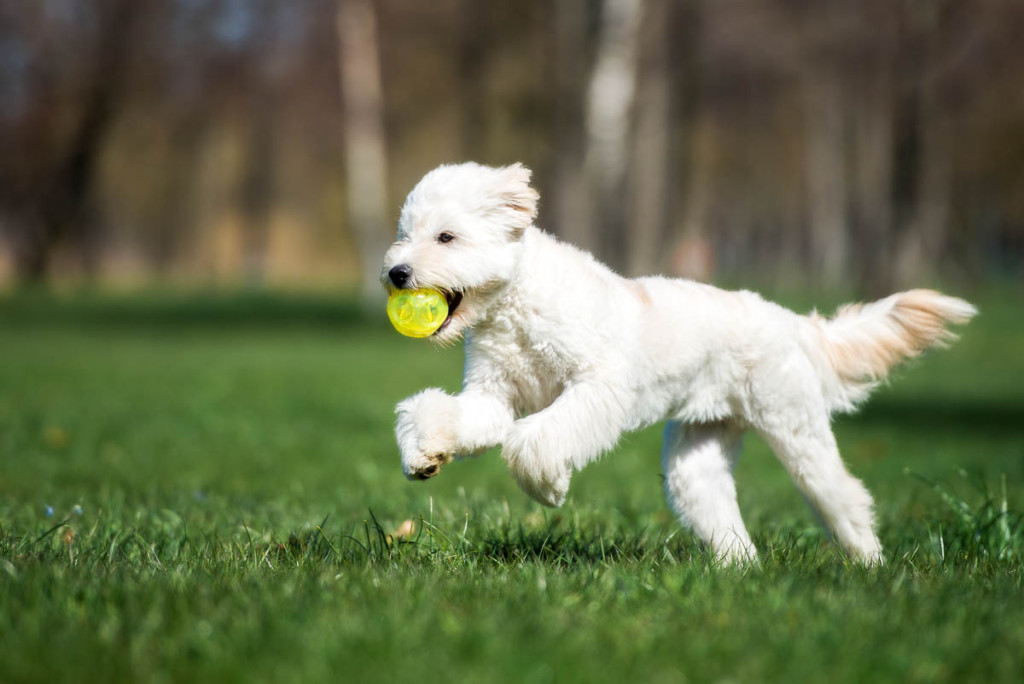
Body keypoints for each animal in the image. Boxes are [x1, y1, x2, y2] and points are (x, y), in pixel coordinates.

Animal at [382, 162, 974, 565]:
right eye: (404, 233)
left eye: (446, 236)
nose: (396, 272)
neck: (516, 304)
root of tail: (791, 322)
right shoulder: (492, 396)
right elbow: (440, 414)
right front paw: (424, 455)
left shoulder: (598, 387)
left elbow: (534, 439)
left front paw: (547, 488)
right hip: (698, 458)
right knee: (720, 512)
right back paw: (740, 570)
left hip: (797, 431)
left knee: (842, 495)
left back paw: (868, 563)